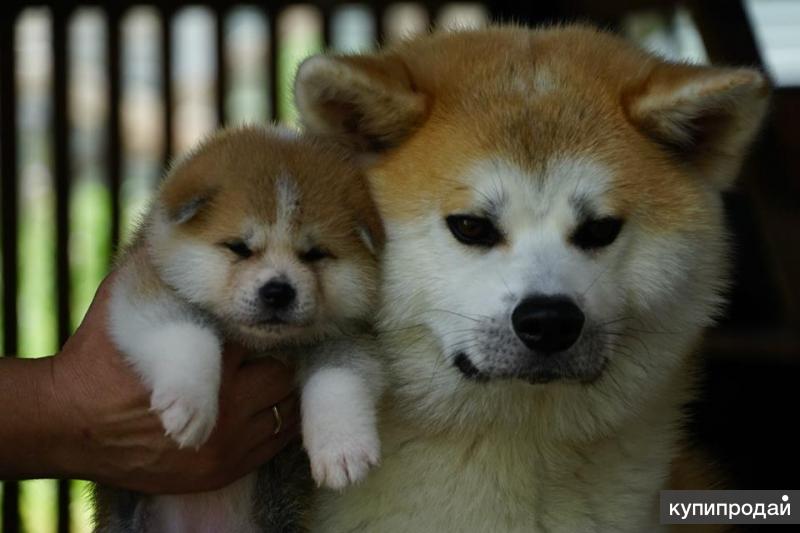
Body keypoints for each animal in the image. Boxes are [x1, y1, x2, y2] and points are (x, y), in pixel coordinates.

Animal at [97, 125, 384, 532]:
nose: (278, 291)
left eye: (315, 254)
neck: (261, 343)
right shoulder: (147, 284)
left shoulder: (350, 332)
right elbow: (188, 333)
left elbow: (340, 375)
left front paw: (343, 445)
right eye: (239, 247)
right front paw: (190, 400)